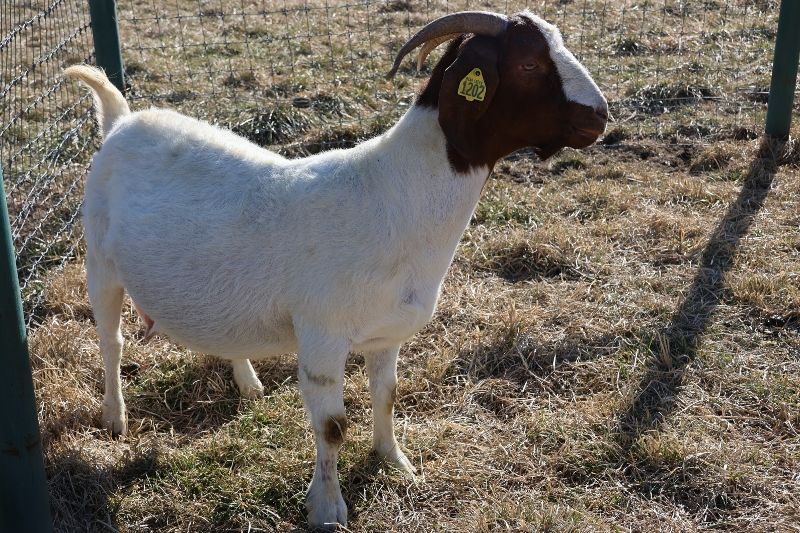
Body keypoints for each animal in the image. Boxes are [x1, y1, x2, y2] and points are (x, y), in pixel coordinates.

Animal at [67, 9, 608, 528]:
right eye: (529, 64)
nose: (600, 117)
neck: (392, 197)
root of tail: (121, 120)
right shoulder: (321, 339)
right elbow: (331, 428)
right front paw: (327, 509)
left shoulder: (387, 335)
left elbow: (386, 396)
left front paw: (397, 464)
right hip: (100, 264)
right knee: (111, 341)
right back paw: (115, 419)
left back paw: (247, 383)